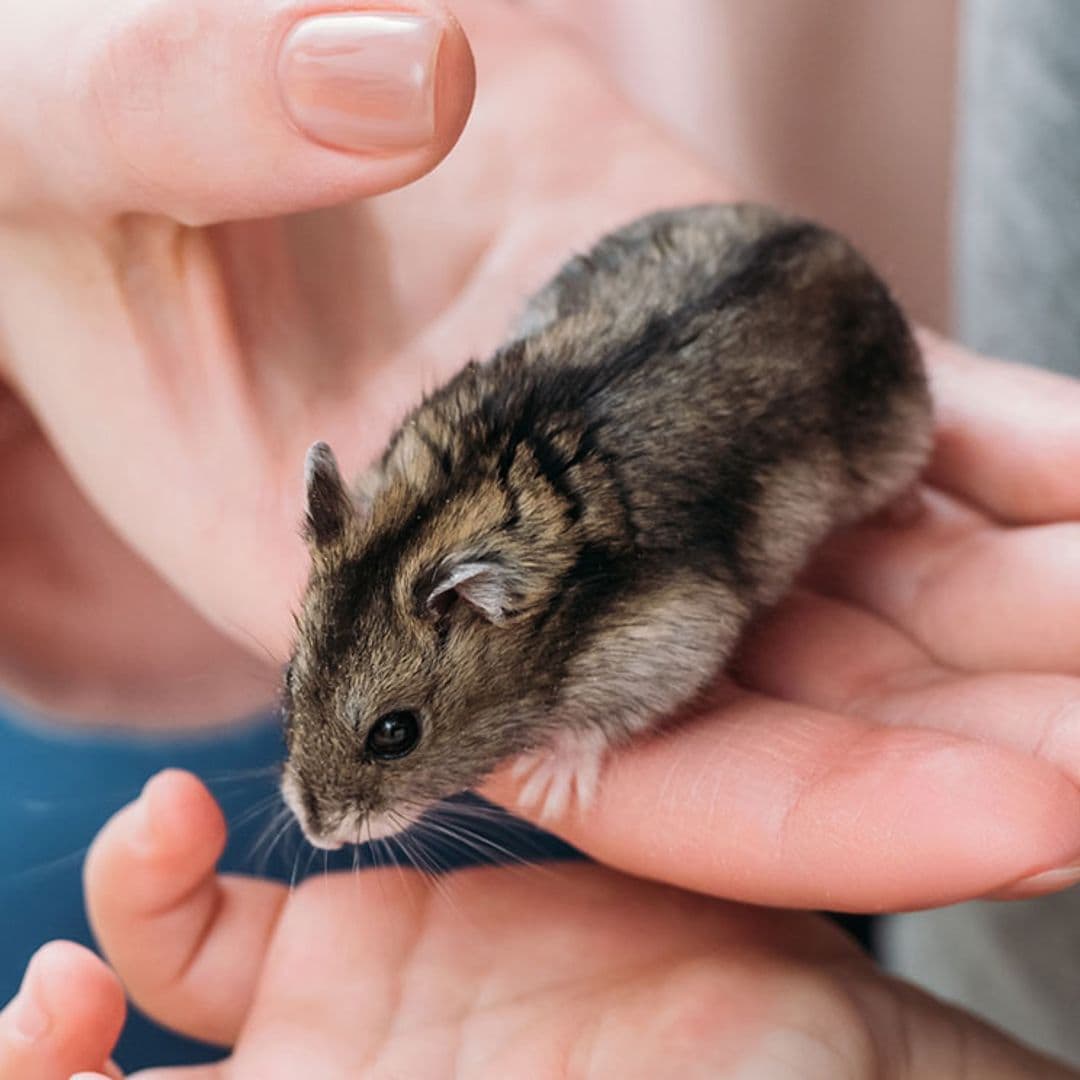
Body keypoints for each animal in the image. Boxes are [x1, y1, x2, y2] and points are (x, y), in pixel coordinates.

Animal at [276, 198, 928, 846]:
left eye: (395, 733)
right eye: (287, 679)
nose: (316, 833)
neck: (439, 514)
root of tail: (828, 237)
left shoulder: (672, 637)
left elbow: (598, 725)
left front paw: (548, 784)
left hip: (896, 437)